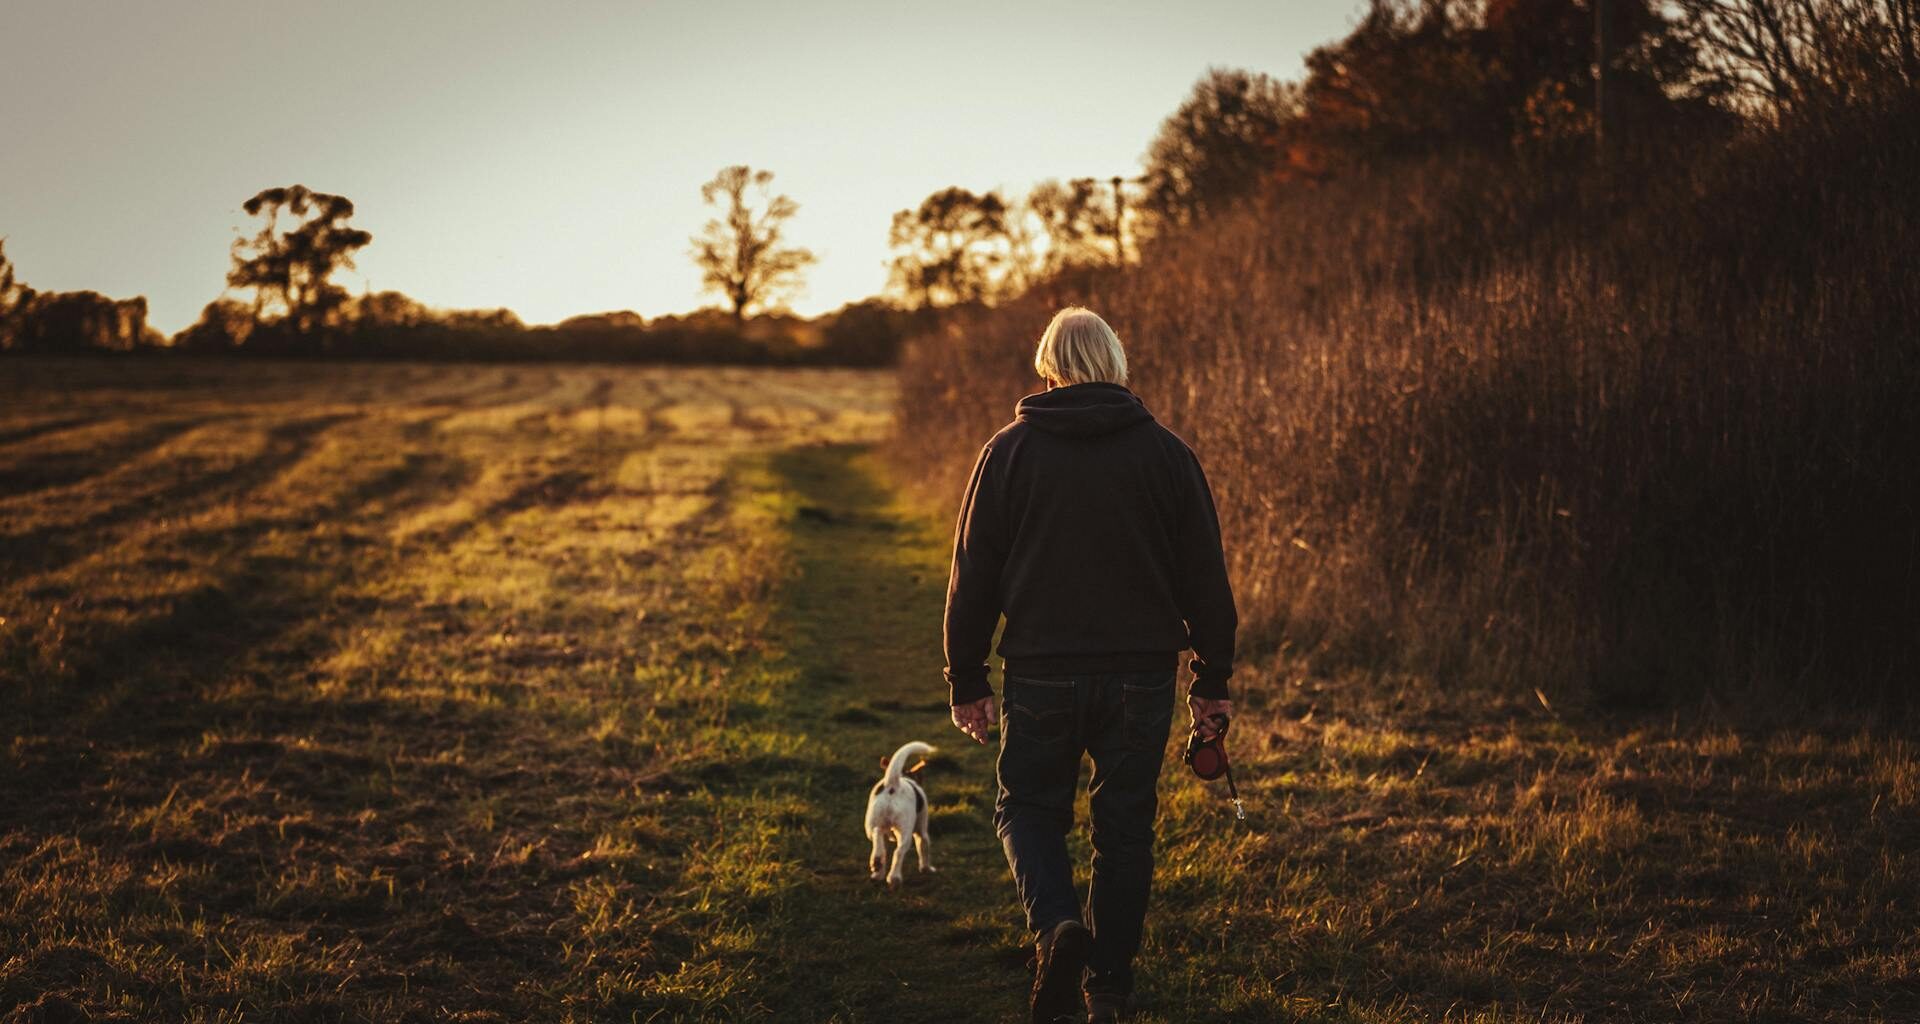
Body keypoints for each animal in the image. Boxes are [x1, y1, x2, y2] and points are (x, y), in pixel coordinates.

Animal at [864, 733, 936, 887]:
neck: (905, 776)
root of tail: (893, 784)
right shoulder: (921, 830)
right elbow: (924, 847)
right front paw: (927, 868)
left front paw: (879, 873)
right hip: (906, 831)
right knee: (899, 851)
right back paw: (894, 877)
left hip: (872, 824)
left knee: (877, 835)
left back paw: (877, 864)